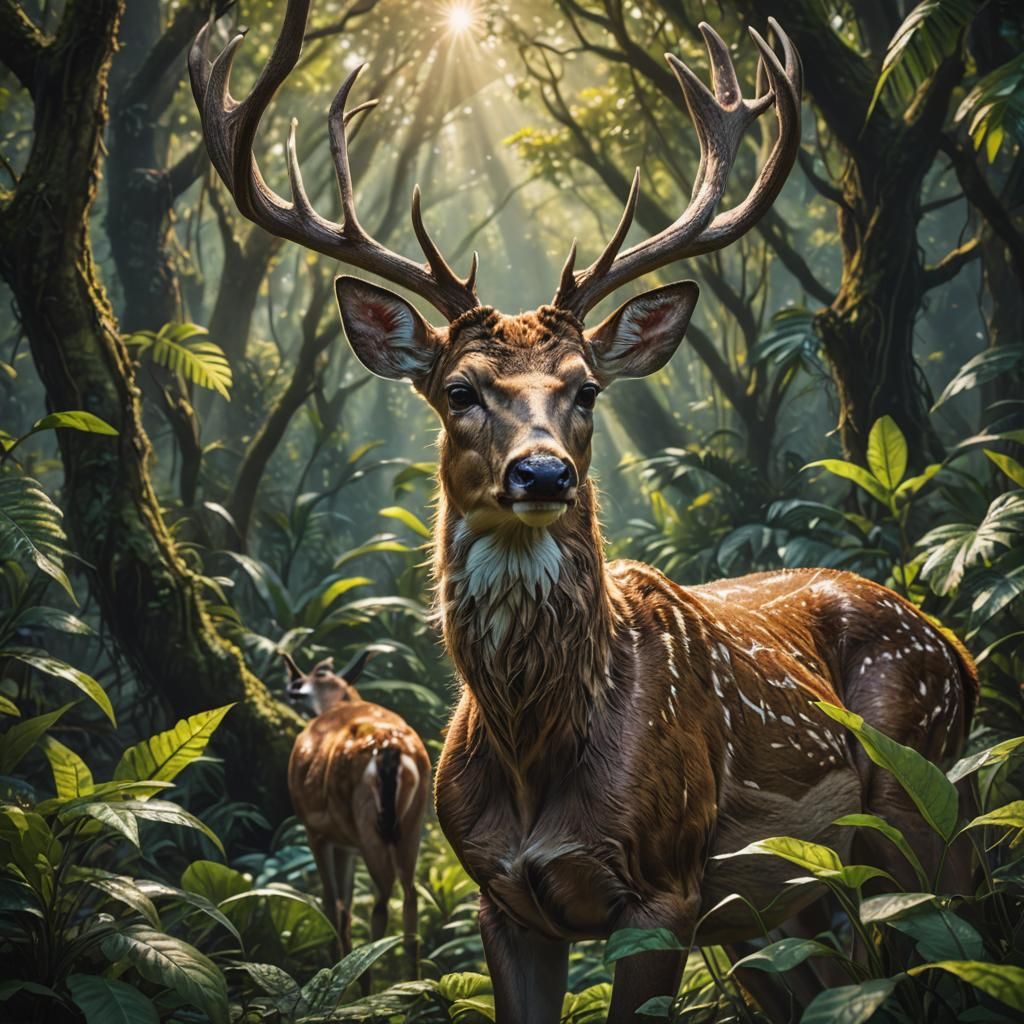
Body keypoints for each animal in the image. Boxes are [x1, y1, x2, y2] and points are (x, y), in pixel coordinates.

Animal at [283, 650, 431, 983]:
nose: (290, 691)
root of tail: (390, 748)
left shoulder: (317, 831)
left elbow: (333, 905)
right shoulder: (346, 844)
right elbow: (345, 907)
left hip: (367, 826)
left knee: (381, 901)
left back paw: (366, 977)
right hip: (413, 822)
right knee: (410, 895)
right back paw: (414, 984)